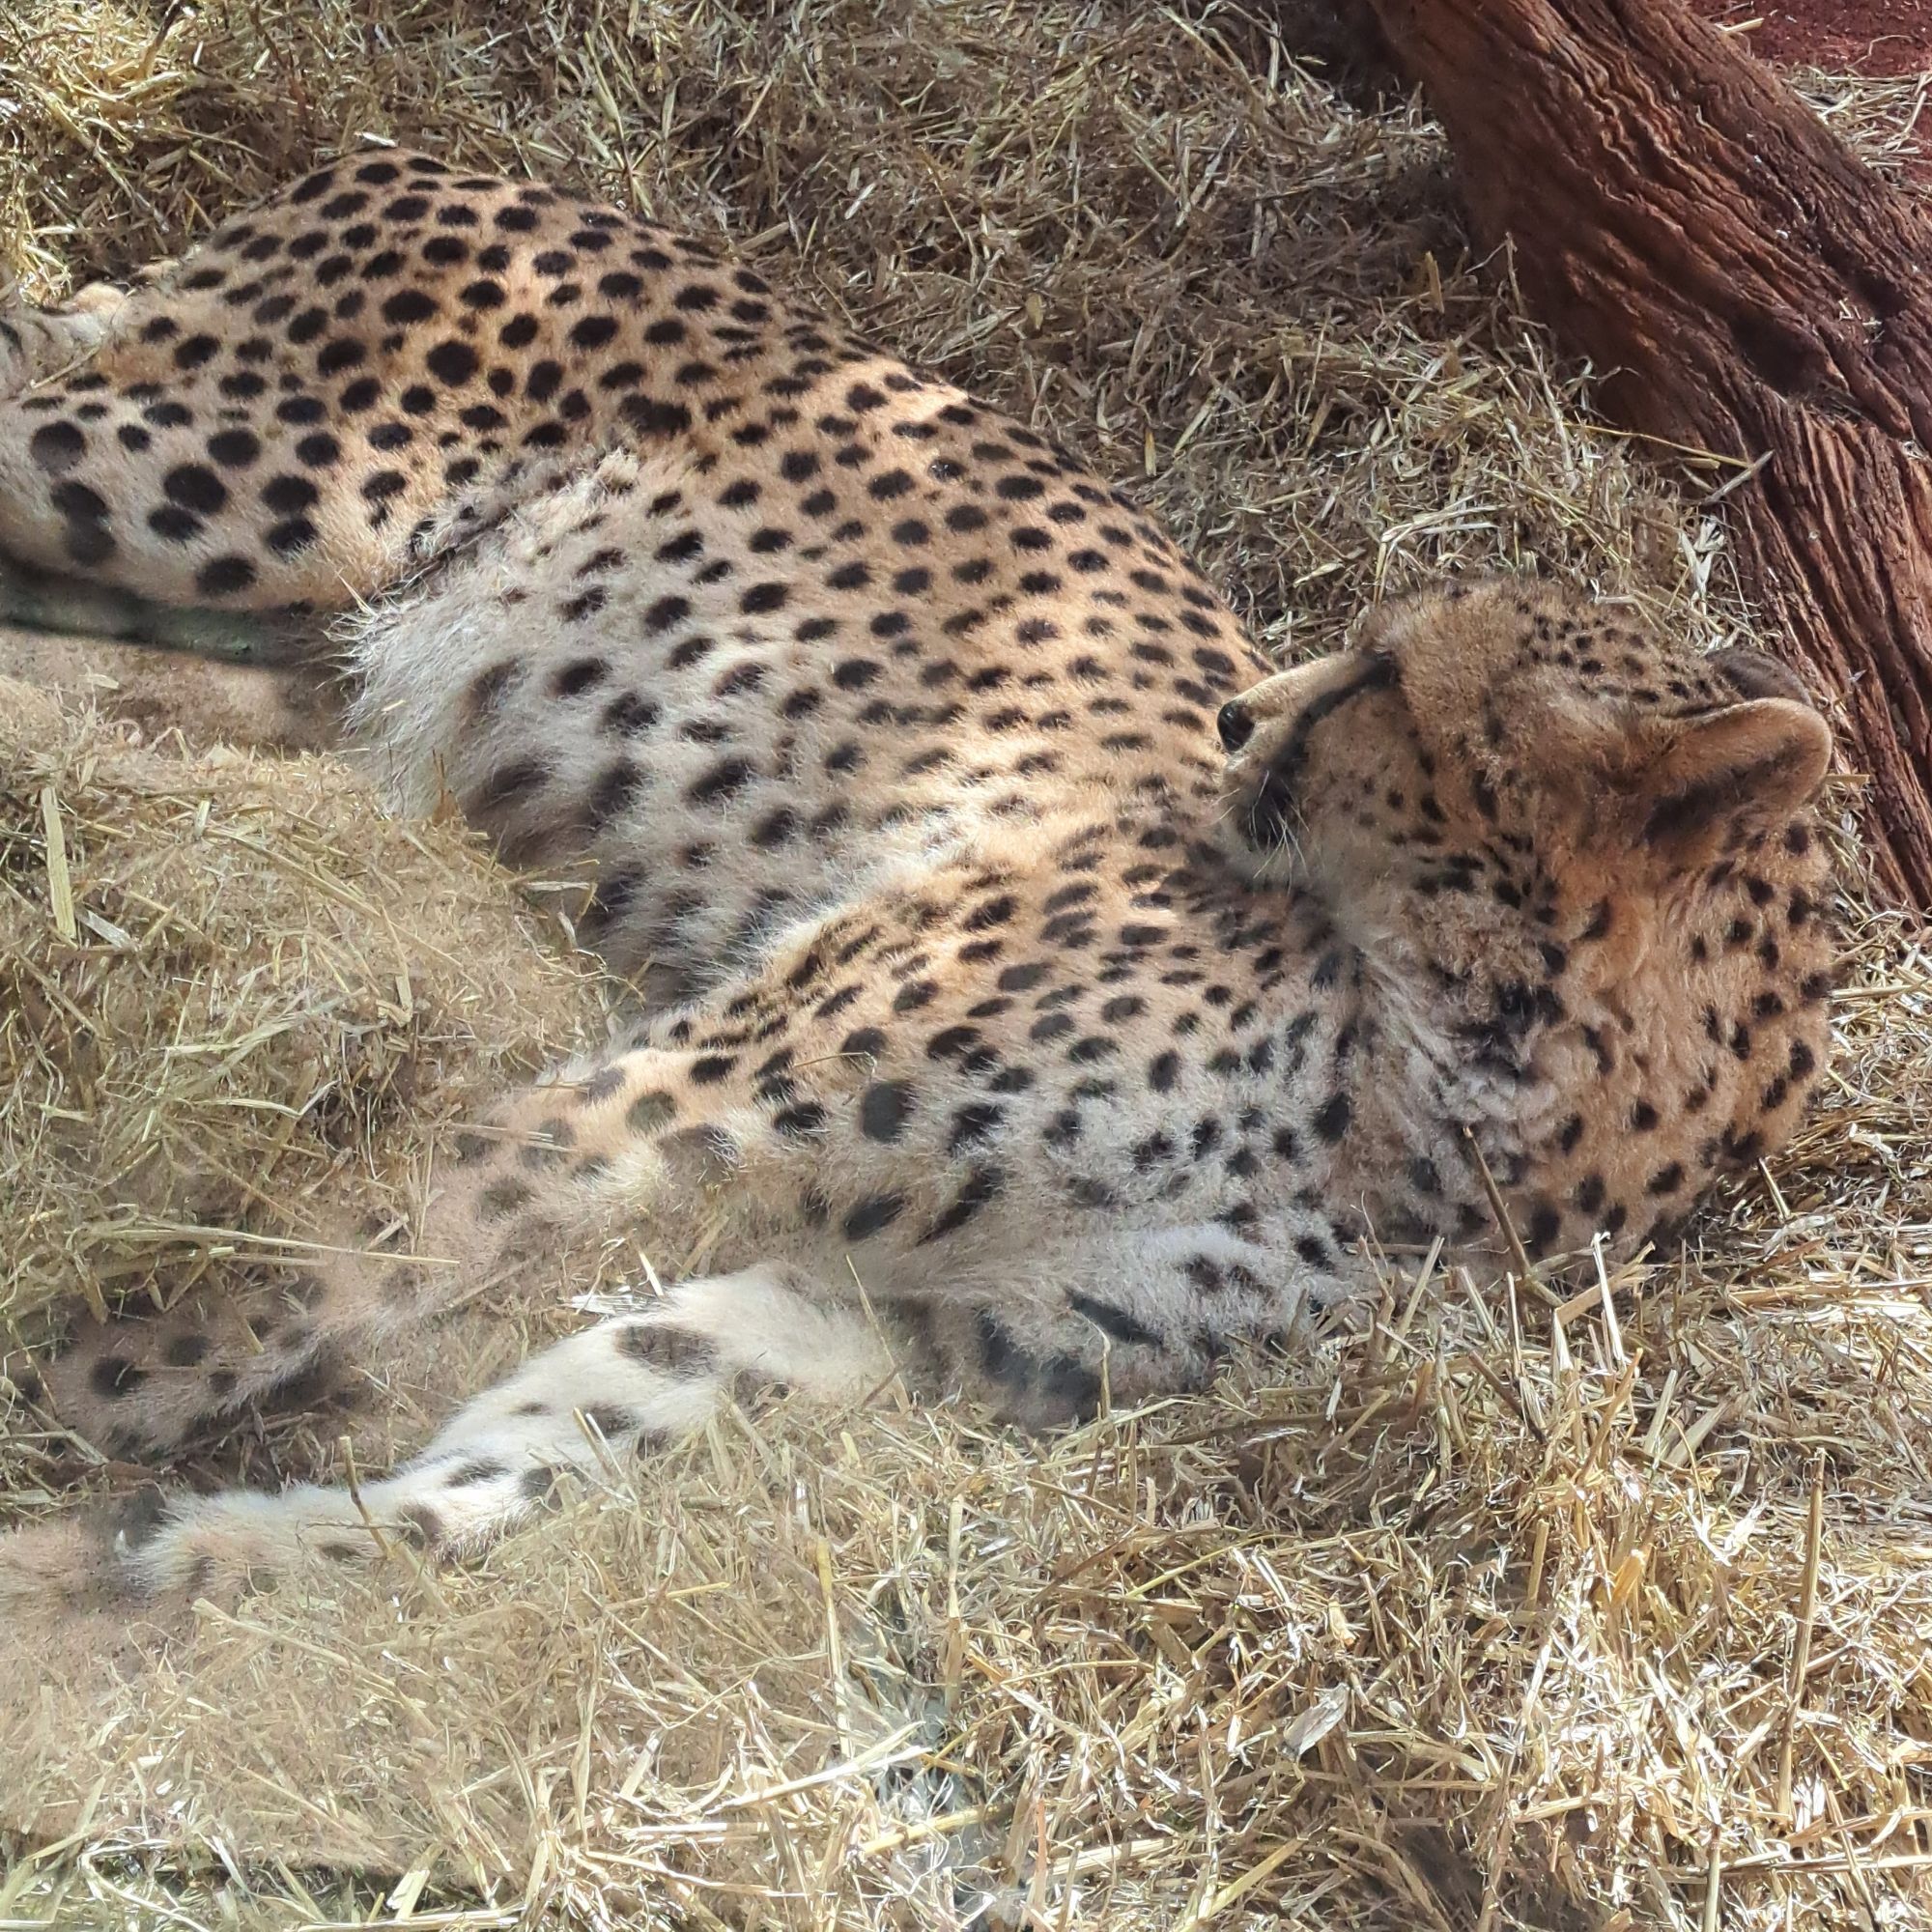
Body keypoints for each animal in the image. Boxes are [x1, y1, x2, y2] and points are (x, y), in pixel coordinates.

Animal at [0, 150, 1839, 1601]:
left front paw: (253, 1550)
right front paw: (91, 1377)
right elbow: (384, 1232)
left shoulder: (898, 1320)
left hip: (306, 637)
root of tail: (421, 156)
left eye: (1385, 678)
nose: (1239, 715)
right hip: (244, 491)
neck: (1461, 1111)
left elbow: (586, 1422)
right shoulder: (718, 1084)